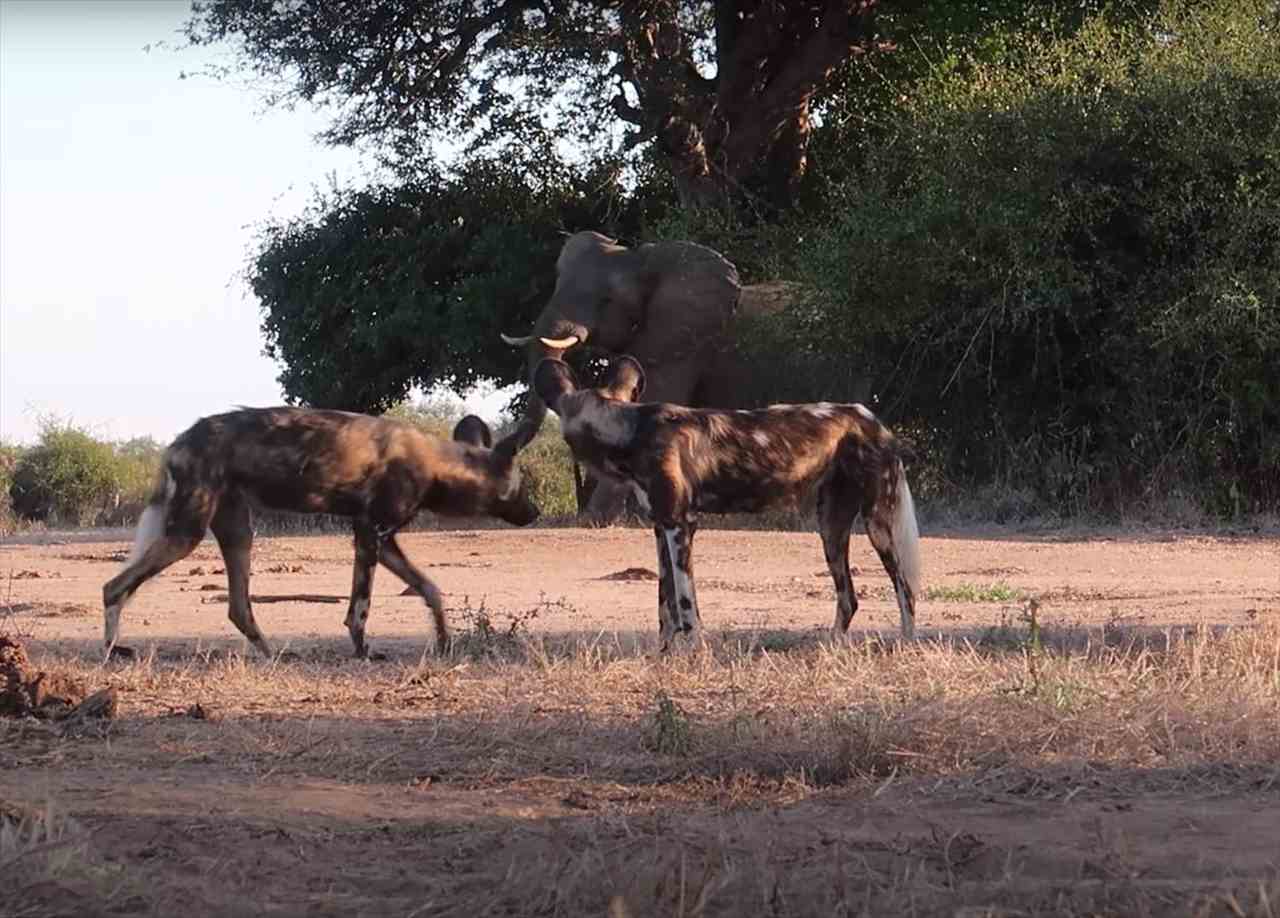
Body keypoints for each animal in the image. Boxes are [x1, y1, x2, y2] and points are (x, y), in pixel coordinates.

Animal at [99, 407, 537, 660]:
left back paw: (273, 654)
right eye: (520, 487)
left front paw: (444, 641)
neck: (436, 463)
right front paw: (362, 652)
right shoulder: (371, 531)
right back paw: (112, 650)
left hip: (238, 531)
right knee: (113, 587)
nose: (534, 512)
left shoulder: (380, 539)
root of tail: (176, 443)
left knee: (238, 607)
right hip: (185, 536)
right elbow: (360, 608)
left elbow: (430, 590)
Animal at [529, 353, 921, 647]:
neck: (629, 429)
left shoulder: (679, 525)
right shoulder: (661, 526)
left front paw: (694, 653)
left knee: (906, 589)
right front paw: (665, 655)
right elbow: (664, 605)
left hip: (878, 525)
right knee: (849, 598)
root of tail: (873, 419)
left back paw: (905, 643)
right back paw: (831, 647)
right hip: (830, 527)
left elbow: (685, 604)